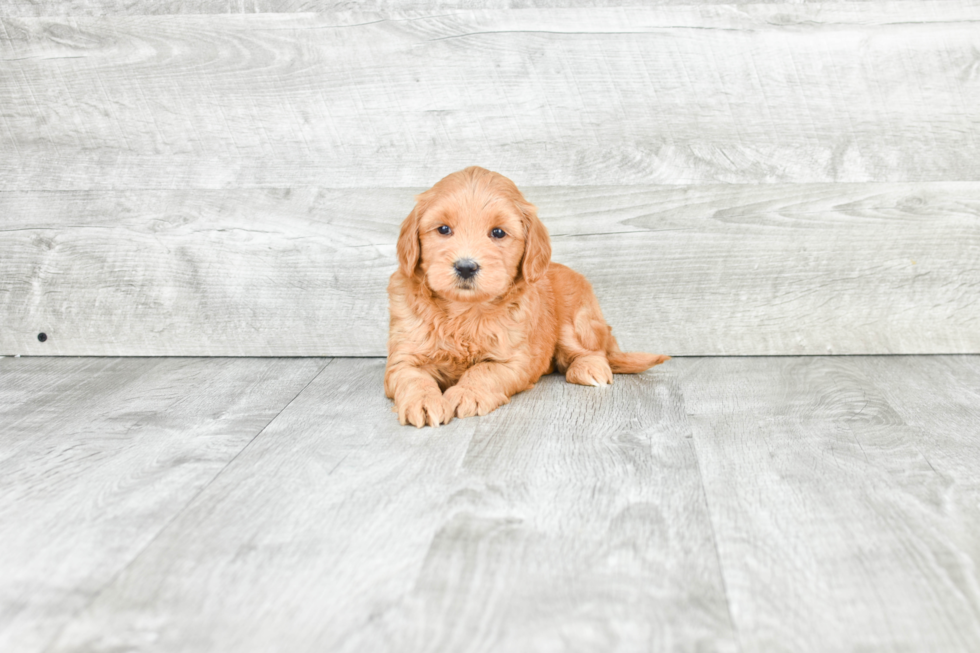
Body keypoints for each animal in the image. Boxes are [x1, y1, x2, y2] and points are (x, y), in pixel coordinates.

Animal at [386, 166, 668, 426]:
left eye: (498, 232)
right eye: (443, 229)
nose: (466, 267)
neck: (464, 310)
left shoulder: (513, 360)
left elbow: (484, 370)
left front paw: (467, 393)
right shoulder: (403, 356)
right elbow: (412, 377)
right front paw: (424, 401)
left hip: (576, 321)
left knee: (593, 350)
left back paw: (590, 369)